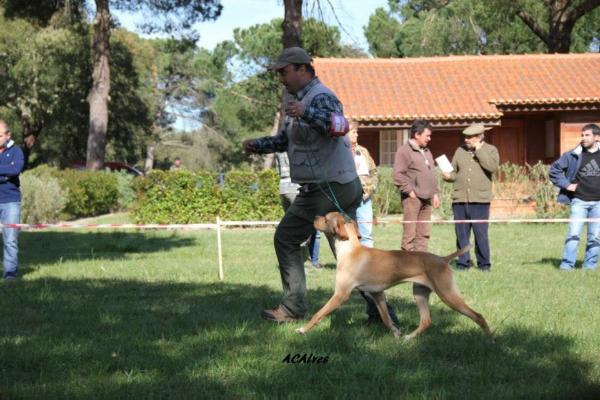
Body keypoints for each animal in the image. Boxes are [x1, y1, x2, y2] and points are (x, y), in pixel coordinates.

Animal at [296, 211, 496, 342]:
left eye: (325, 218)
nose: (314, 217)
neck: (350, 249)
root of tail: (443, 259)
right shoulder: (377, 294)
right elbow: (386, 319)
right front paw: (397, 334)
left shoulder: (341, 294)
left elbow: (319, 313)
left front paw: (303, 329)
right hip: (419, 293)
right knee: (426, 321)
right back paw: (408, 338)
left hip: (448, 295)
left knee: (478, 316)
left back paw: (491, 340)